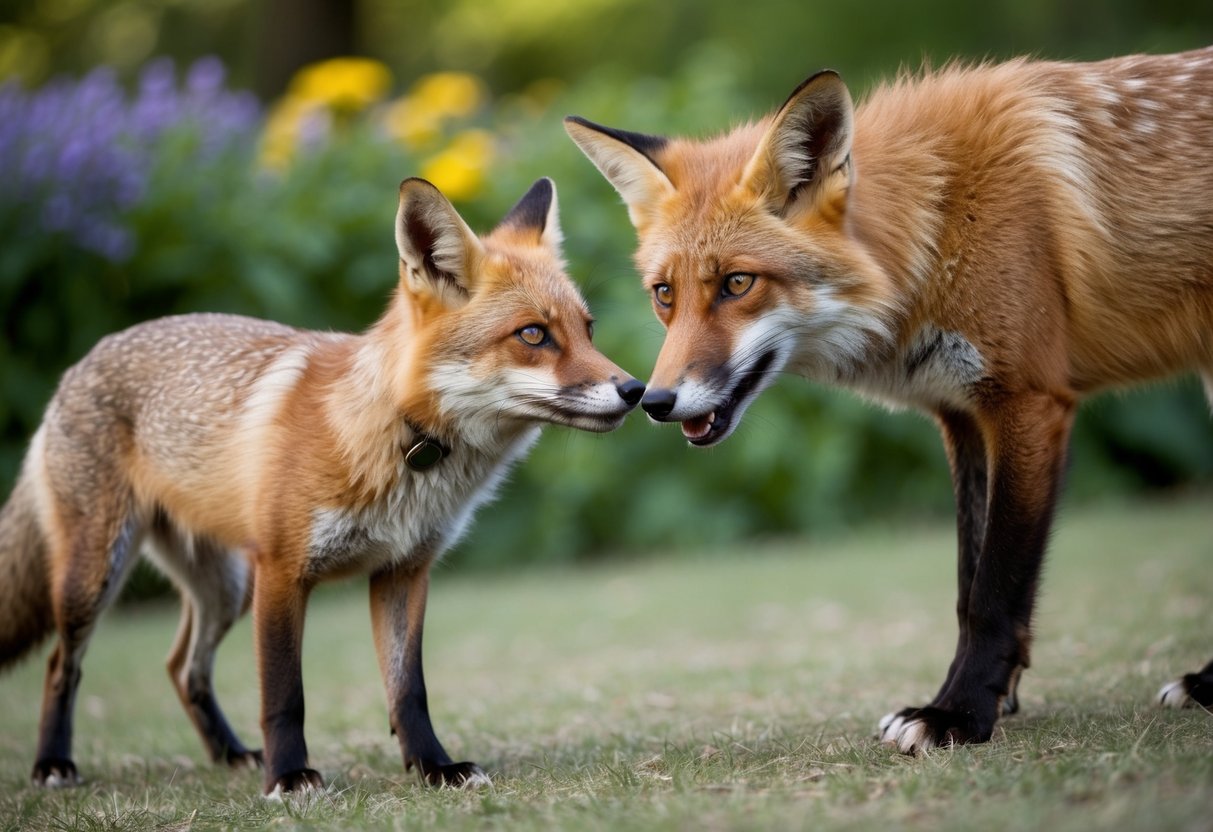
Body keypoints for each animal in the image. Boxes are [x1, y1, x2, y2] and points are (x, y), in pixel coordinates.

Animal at [0, 176, 645, 795]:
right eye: (533, 335)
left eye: (588, 330)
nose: (636, 390)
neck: (402, 439)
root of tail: (81, 362)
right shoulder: (283, 571)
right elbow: (285, 693)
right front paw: (288, 778)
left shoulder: (404, 571)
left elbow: (408, 690)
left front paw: (434, 767)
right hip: (97, 576)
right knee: (62, 664)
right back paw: (53, 764)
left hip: (223, 587)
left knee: (183, 667)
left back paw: (229, 754)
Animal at [565, 46, 1213, 753]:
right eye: (664, 294)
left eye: (737, 283)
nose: (654, 400)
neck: (940, 222)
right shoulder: (961, 414)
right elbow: (966, 583)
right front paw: (988, 695)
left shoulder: (1029, 402)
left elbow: (994, 588)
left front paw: (958, 714)